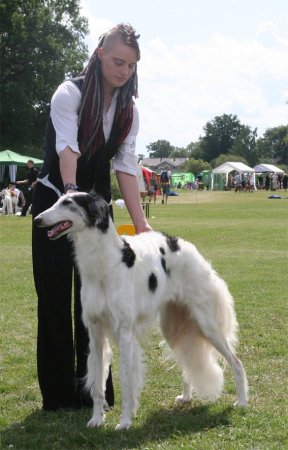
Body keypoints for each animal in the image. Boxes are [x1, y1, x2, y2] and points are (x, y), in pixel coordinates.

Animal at [35, 192, 249, 428]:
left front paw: (125, 422)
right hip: (174, 328)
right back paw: (186, 397)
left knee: (237, 363)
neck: (103, 266)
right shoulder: (96, 334)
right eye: (57, 200)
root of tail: (185, 245)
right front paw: (97, 419)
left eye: (68, 203)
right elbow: (98, 385)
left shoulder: (125, 333)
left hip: (207, 324)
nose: (37, 220)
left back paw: (242, 401)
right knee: (187, 362)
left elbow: (127, 385)